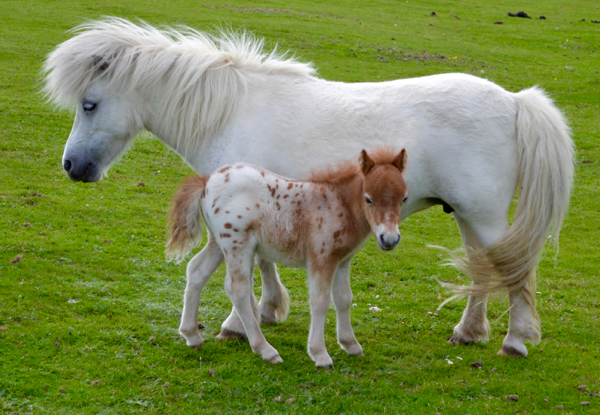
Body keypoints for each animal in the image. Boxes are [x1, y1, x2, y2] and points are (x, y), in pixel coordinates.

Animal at [42, 18, 572, 358]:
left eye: (89, 104)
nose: (71, 165)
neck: (230, 111)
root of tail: (514, 101)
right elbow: (265, 264)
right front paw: (267, 313)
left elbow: (253, 269)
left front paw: (245, 322)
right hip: (465, 214)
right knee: (482, 267)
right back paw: (469, 331)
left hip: (483, 215)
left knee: (516, 270)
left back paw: (514, 340)